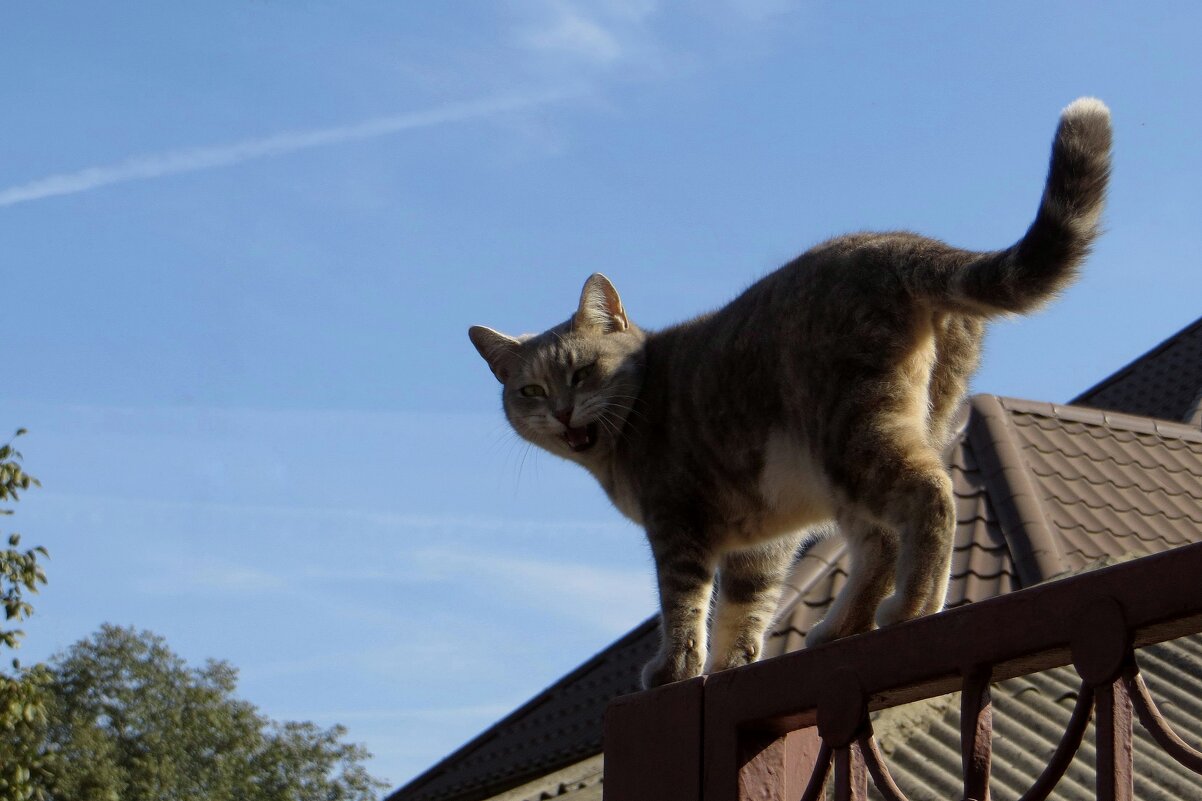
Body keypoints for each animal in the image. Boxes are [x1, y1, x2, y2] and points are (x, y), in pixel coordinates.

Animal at [466, 98, 1105, 687]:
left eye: (581, 372)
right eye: (530, 389)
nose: (561, 411)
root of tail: (900, 246)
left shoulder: (676, 525)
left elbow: (683, 607)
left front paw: (673, 669)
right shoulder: (763, 545)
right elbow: (745, 610)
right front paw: (730, 664)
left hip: (851, 437)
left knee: (926, 501)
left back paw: (909, 607)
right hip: (883, 445)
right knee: (880, 543)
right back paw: (842, 627)